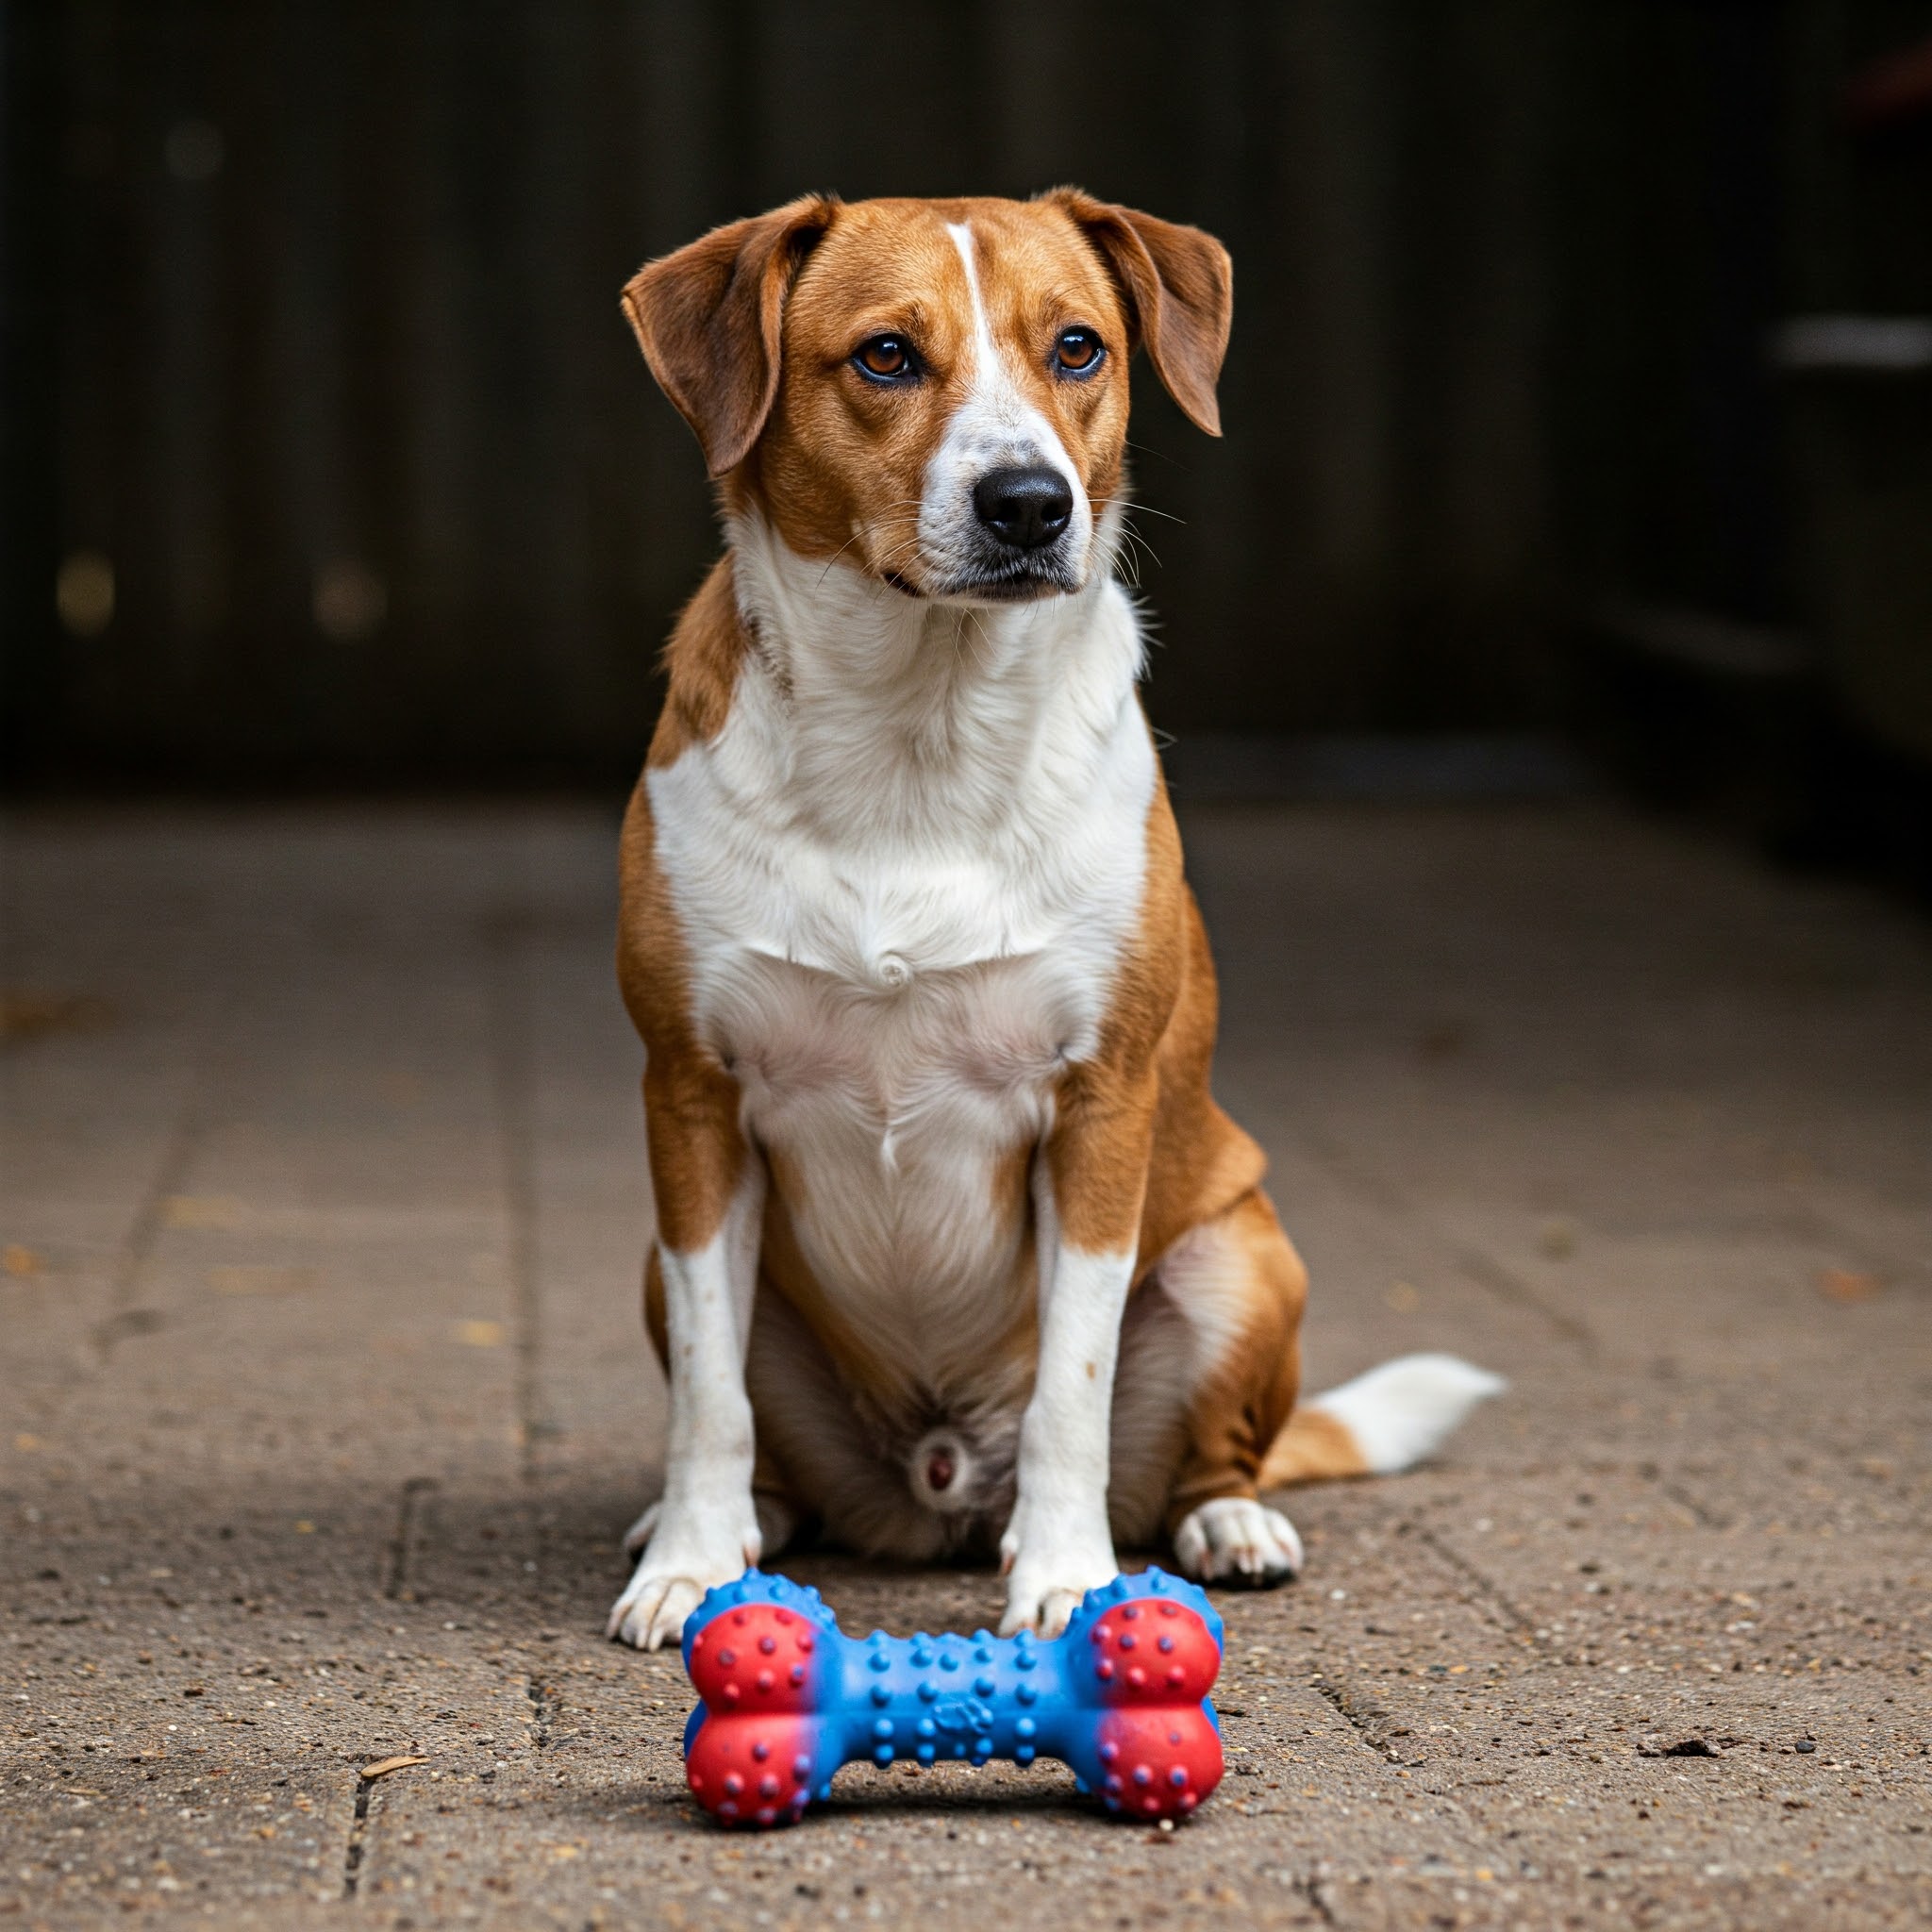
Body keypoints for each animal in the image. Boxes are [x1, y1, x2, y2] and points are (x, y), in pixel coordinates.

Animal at [598, 192, 1491, 1645]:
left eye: (1078, 346)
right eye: (886, 355)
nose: (1028, 502)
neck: (920, 732)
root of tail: (938, 1484)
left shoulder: (1099, 1110)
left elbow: (1074, 1380)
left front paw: (1068, 1577)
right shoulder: (689, 1101)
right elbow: (709, 1396)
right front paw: (687, 1558)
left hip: (1243, 1254)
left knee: (1208, 1455)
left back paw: (1226, 1522)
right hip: (667, 1261)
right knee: (756, 1428)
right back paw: (744, 1525)